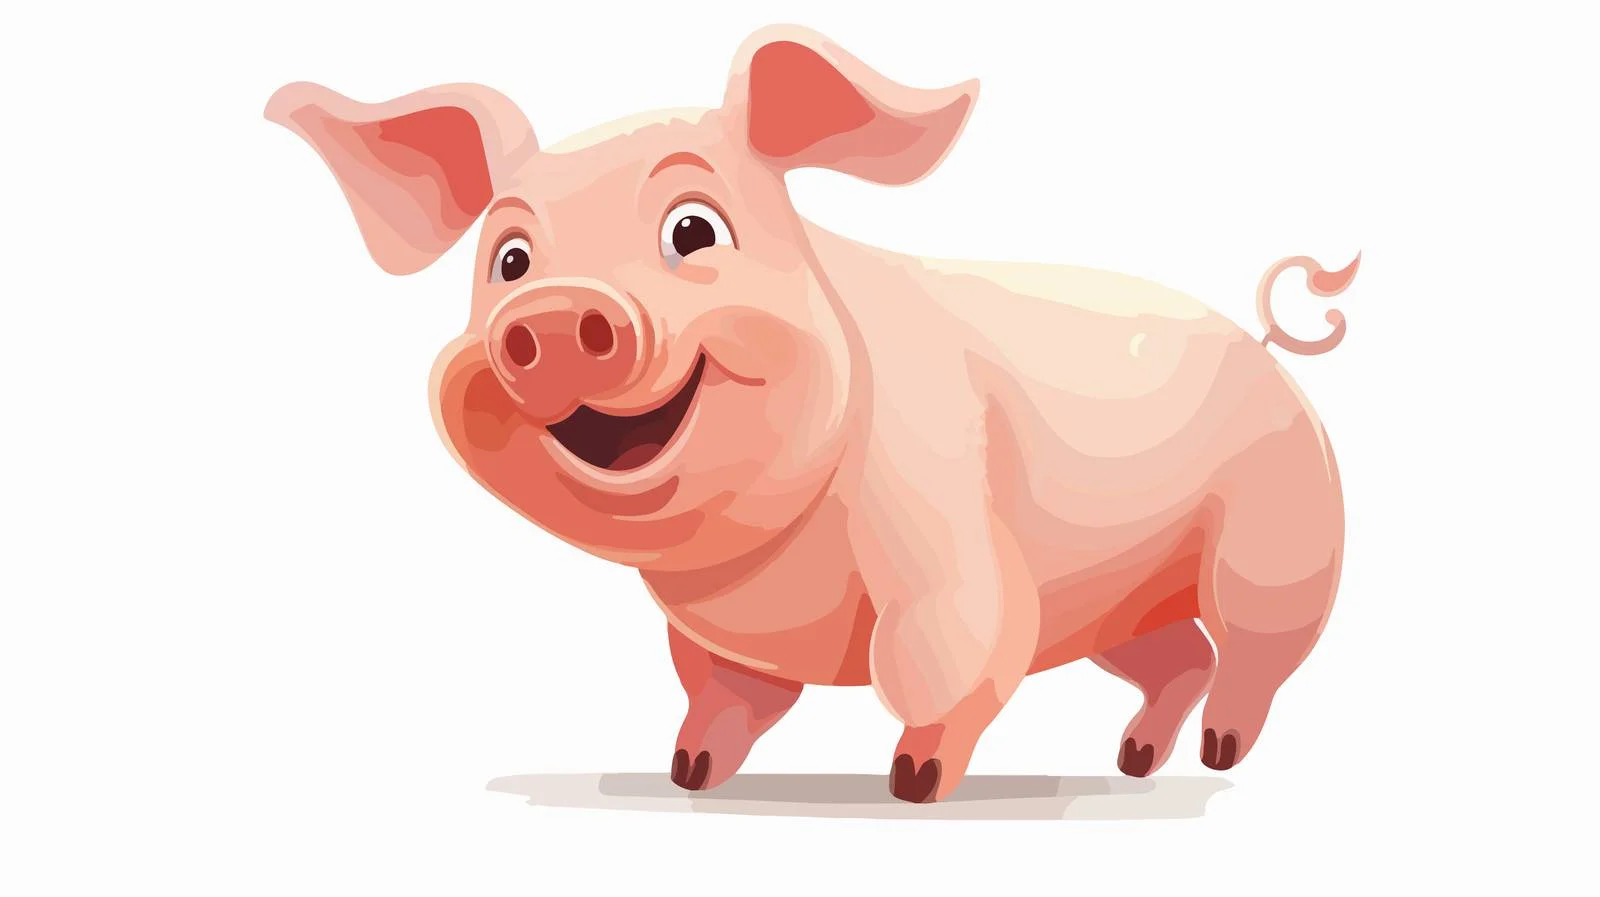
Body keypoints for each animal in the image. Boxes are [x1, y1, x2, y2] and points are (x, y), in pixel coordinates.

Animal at [266, 24, 1359, 803]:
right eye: (509, 262)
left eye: (693, 232)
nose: (554, 313)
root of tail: (1268, 348)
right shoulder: (707, 636)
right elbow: (724, 696)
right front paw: (687, 777)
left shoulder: (948, 538)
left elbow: (941, 654)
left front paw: (912, 785)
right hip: (1114, 601)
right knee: (1174, 655)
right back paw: (1134, 761)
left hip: (1278, 543)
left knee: (1253, 654)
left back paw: (1215, 757)